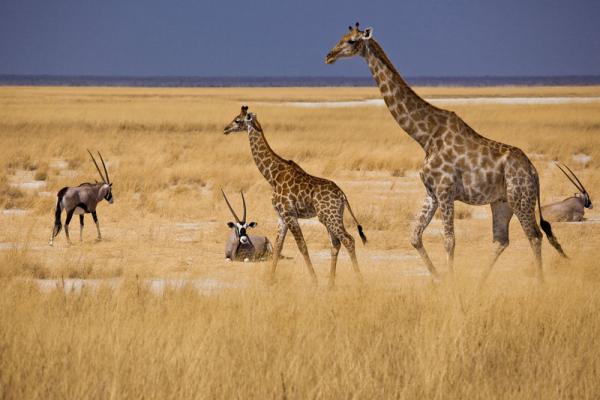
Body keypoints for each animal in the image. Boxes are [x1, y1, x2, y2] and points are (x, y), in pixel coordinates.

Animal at [224, 104, 366, 286]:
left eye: (237, 120)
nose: (226, 129)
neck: (272, 176)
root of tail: (342, 195)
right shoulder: (281, 216)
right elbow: (278, 246)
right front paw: (270, 279)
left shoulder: (290, 214)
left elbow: (302, 246)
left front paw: (314, 280)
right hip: (330, 217)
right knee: (335, 244)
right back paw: (330, 284)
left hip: (330, 216)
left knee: (349, 240)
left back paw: (359, 280)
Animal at [326, 22, 564, 284]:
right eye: (341, 37)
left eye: (351, 41)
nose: (329, 56)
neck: (425, 136)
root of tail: (533, 171)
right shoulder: (431, 192)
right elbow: (414, 236)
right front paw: (440, 278)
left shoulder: (445, 190)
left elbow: (449, 240)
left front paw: (450, 282)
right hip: (502, 202)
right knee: (501, 240)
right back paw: (480, 284)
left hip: (521, 198)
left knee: (534, 236)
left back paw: (540, 283)